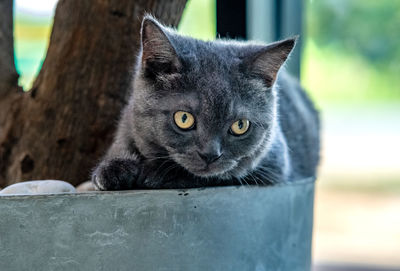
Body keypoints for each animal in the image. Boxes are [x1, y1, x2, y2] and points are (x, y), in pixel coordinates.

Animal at [90, 15, 318, 190]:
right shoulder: (127, 124)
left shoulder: (274, 167)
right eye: (184, 118)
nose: (210, 155)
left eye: (240, 125)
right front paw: (114, 170)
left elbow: (221, 175)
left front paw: (157, 175)